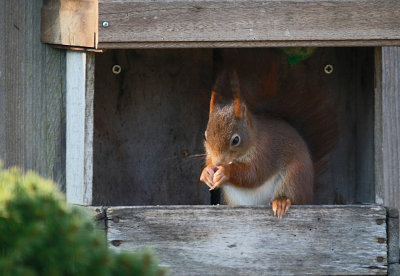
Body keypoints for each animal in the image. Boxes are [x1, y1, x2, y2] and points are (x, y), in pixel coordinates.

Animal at [200, 69, 316, 218]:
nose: (218, 163)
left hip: (295, 177)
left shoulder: (265, 151)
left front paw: (225, 172)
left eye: (236, 140)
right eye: (205, 136)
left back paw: (282, 202)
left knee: (294, 197)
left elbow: (254, 173)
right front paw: (206, 172)